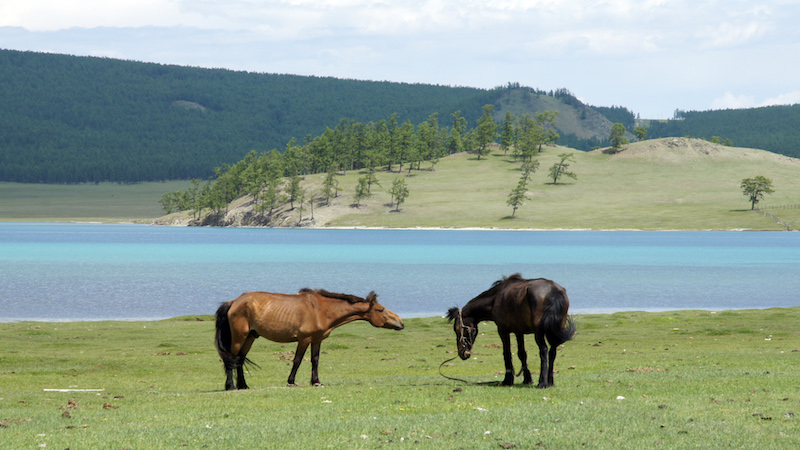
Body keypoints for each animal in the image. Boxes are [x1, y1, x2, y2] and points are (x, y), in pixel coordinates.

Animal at [216, 288, 404, 390]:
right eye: (381, 309)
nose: (401, 322)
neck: (321, 309)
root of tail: (234, 302)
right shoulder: (304, 339)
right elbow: (297, 360)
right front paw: (291, 382)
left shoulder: (317, 339)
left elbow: (315, 360)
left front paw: (316, 381)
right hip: (239, 336)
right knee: (231, 359)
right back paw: (231, 386)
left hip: (250, 337)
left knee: (239, 359)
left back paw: (243, 385)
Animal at [444, 272, 576, 388]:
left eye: (458, 329)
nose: (462, 353)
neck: (495, 299)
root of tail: (553, 290)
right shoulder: (519, 331)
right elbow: (522, 354)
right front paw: (527, 379)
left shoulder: (503, 330)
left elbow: (506, 353)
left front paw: (508, 380)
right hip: (553, 332)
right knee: (552, 352)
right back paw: (550, 382)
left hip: (539, 332)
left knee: (543, 350)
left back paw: (542, 383)